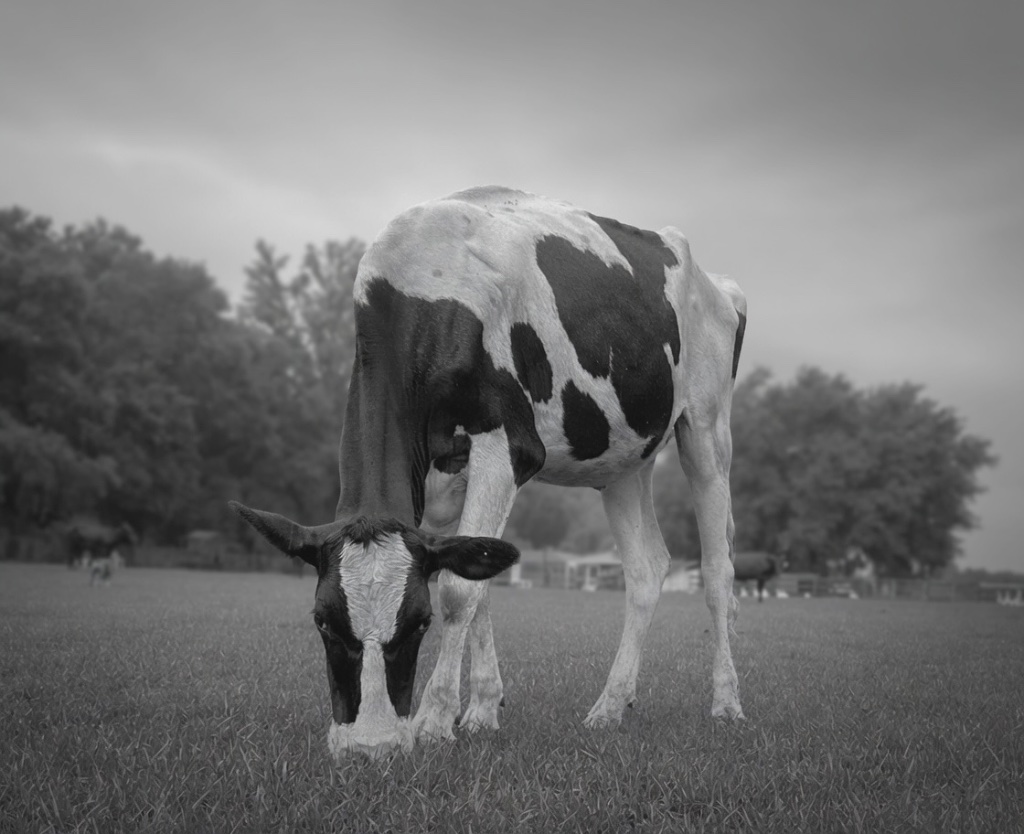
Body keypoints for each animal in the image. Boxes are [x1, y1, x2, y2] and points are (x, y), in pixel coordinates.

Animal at [232, 186, 747, 760]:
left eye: (420, 623)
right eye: (323, 621)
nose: (370, 748)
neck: (427, 282)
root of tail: (718, 284)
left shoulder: (508, 446)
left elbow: (460, 590)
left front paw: (433, 721)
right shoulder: (438, 482)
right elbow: (474, 573)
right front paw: (480, 710)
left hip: (706, 427)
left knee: (718, 571)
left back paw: (727, 704)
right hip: (623, 459)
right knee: (646, 568)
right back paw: (610, 706)